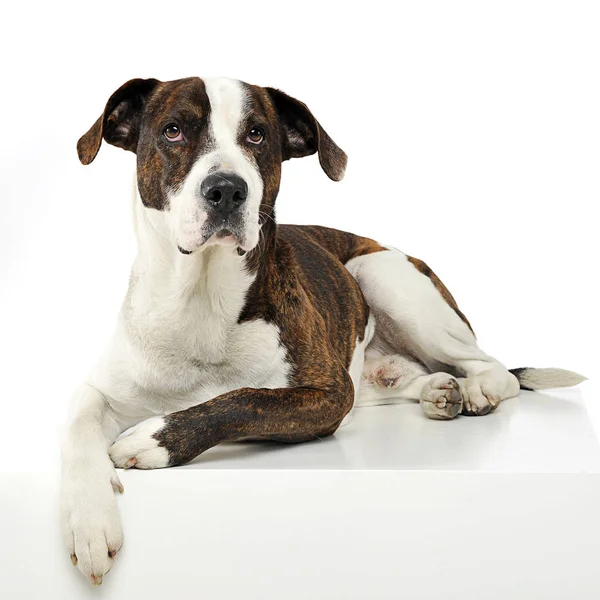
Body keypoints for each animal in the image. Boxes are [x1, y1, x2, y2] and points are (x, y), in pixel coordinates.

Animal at [62, 76, 584, 584]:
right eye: (173, 131)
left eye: (257, 135)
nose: (227, 189)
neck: (202, 299)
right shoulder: (104, 389)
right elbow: (78, 427)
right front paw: (88, 522)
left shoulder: (328, 393)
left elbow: (243, 400)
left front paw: (153, 440)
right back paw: (439, 390)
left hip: (381, 274)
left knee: (494, 366)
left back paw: (477, 390)